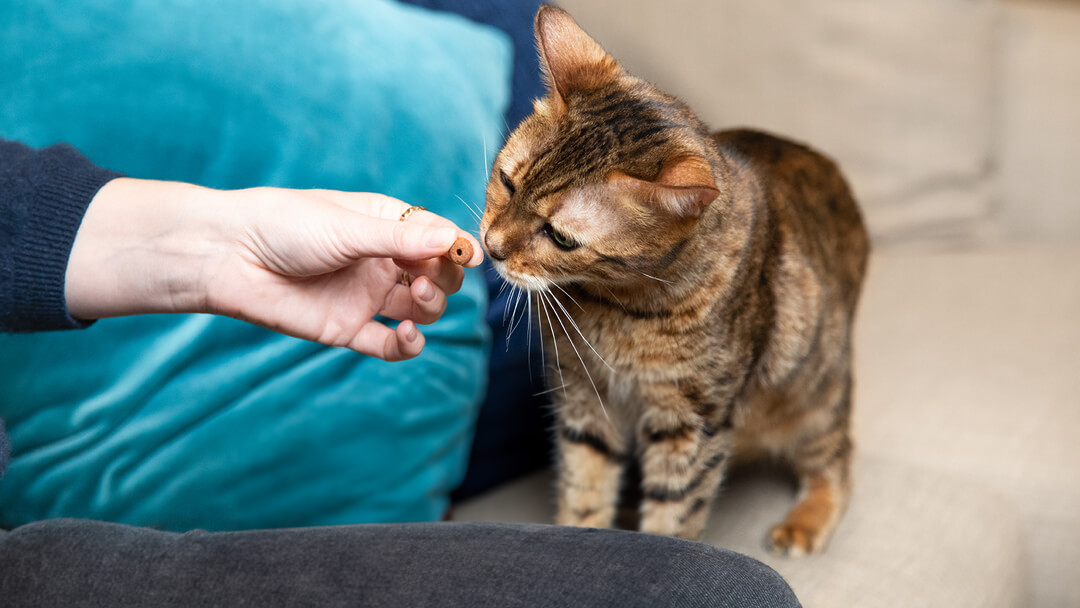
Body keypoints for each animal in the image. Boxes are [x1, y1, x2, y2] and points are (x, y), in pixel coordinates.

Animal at [481, 5, 868, 557]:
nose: (491, 246)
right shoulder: (582, 398)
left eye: (560, 236)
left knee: (835, 461)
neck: (613, 308)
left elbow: (674, 511)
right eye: (508, 182)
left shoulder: (692, 423)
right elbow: (585, 487)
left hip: (818, 394)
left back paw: (805, 520)